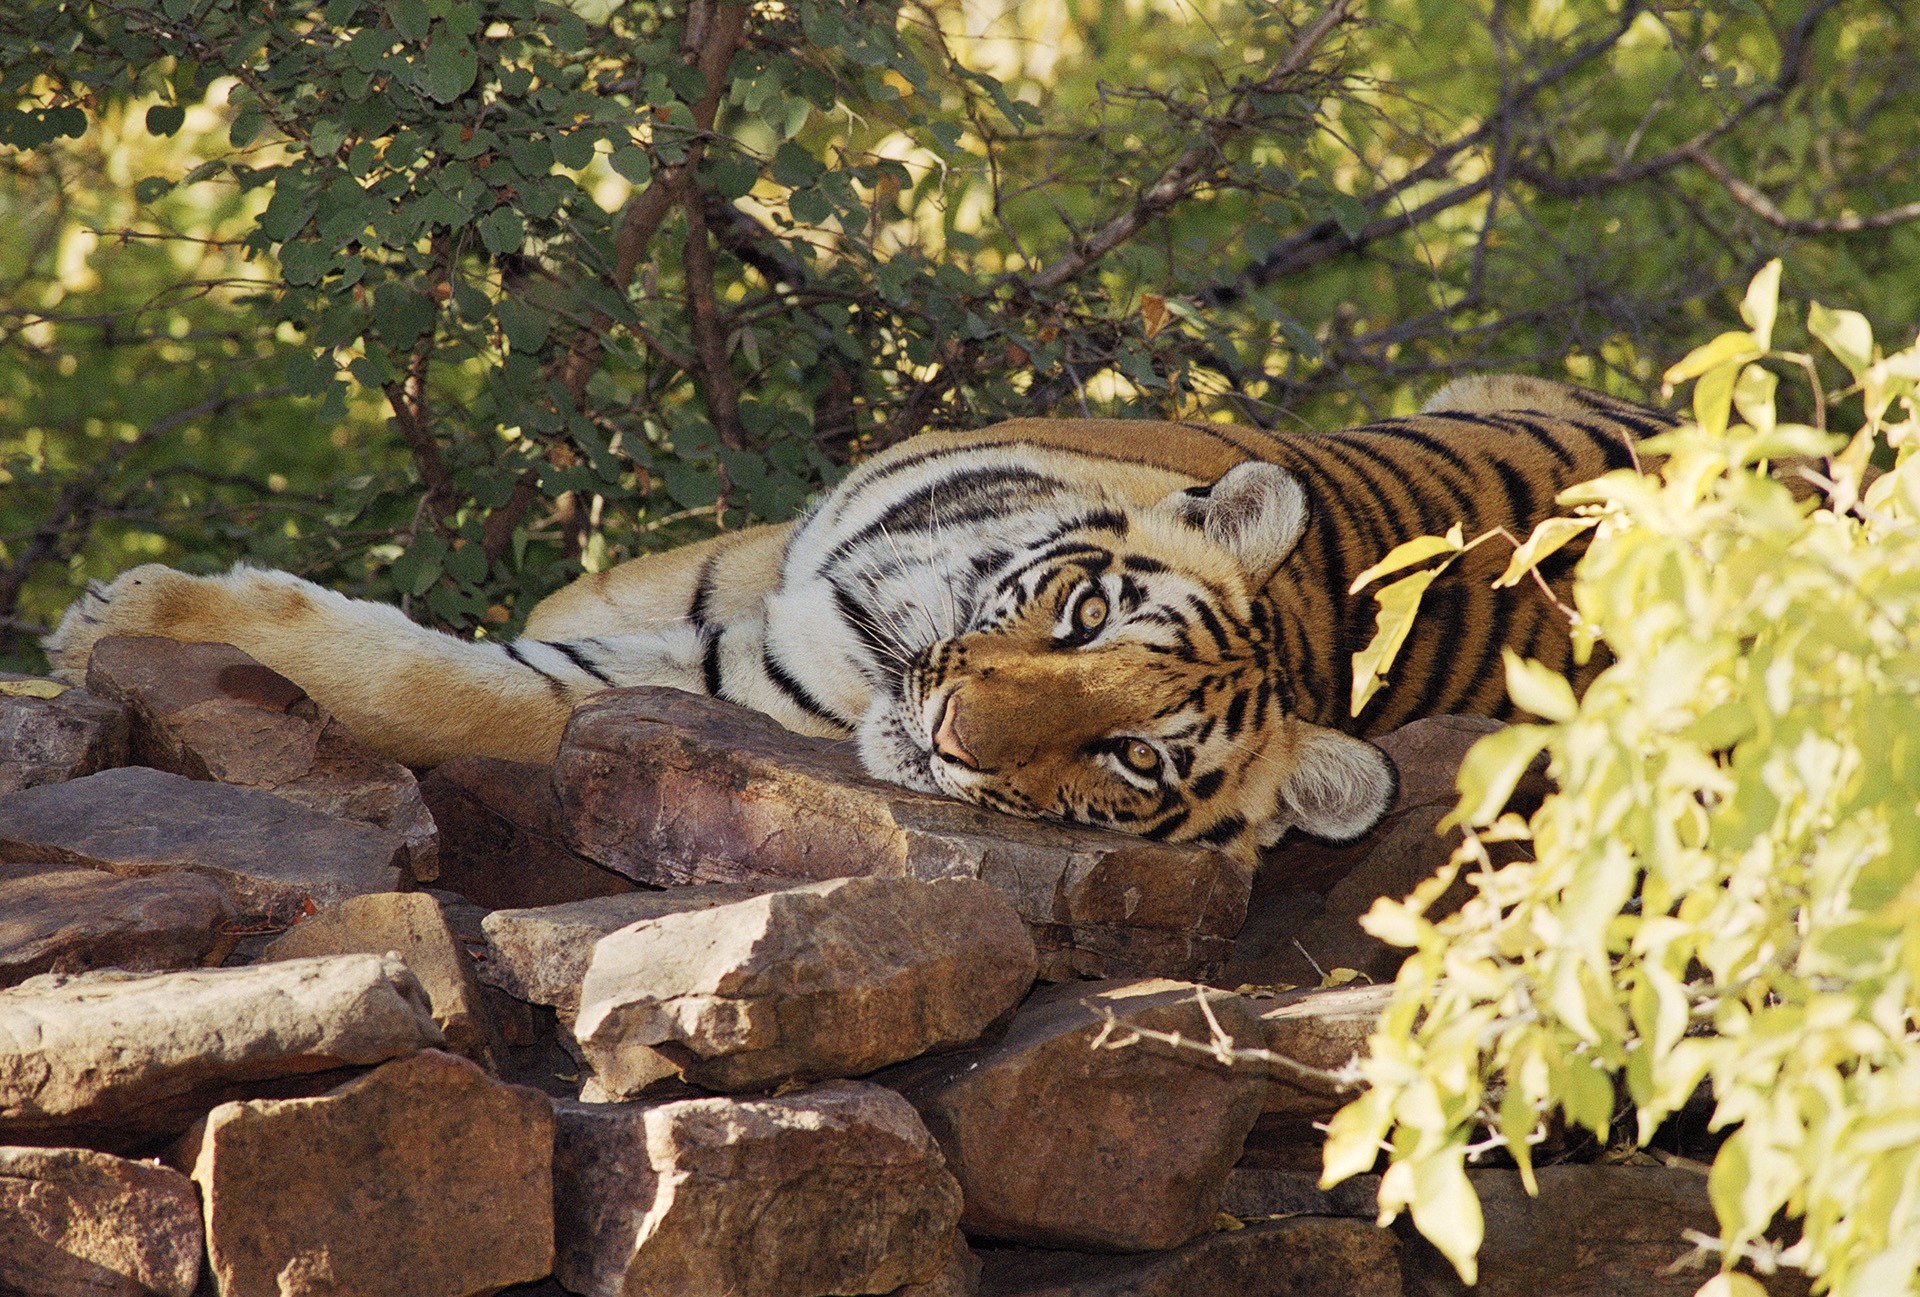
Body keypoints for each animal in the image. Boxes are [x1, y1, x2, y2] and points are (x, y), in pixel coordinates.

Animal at [43, 374, 1673, 864]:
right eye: (1085, 610)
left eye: (1138, 760)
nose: (953, 729)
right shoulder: (750, 561)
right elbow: (573, 601)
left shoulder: (718, 664)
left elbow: (450, 688)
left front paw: (120, 609)